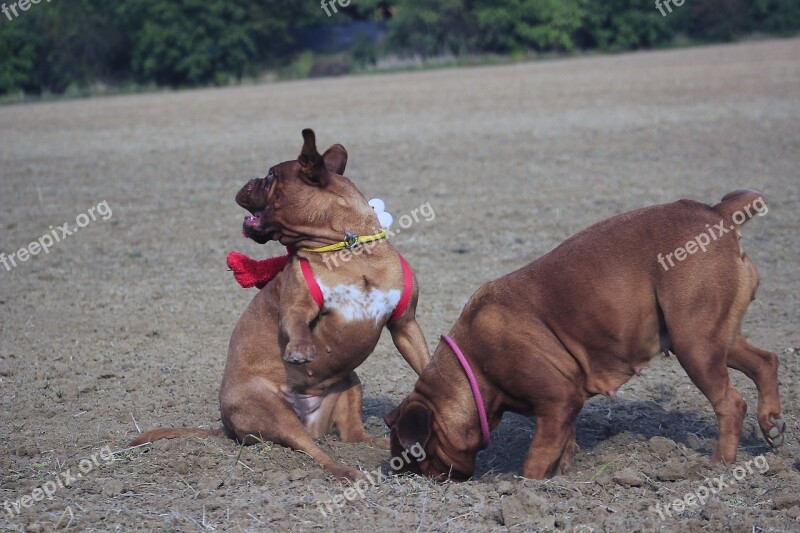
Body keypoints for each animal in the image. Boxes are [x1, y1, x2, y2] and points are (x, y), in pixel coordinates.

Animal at [131, 130, 432, 478]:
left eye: (271, 175)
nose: (250, 179)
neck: (348, 248)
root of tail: (227, 426)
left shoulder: (405, 325)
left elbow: (424, 362)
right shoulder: (296, 305)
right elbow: (296, 321)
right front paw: (300, 349)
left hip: (350, 382)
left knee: (354, 436)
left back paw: (384, 446)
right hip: (272, 412)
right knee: (313, 449)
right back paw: (345, 471)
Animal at [384, 190, 784, 478]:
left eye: (417, 457)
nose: (414, 476)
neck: (473, 368)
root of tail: (716, 213)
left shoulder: (557, 402)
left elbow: (535, 458)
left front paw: (525, 488)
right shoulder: (566, 405)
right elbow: (563, 445)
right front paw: (559, 478)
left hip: (695, 345)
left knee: (730, 404)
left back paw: (719, 465)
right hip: (714, 338)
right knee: (766, 360)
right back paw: (770, 422)